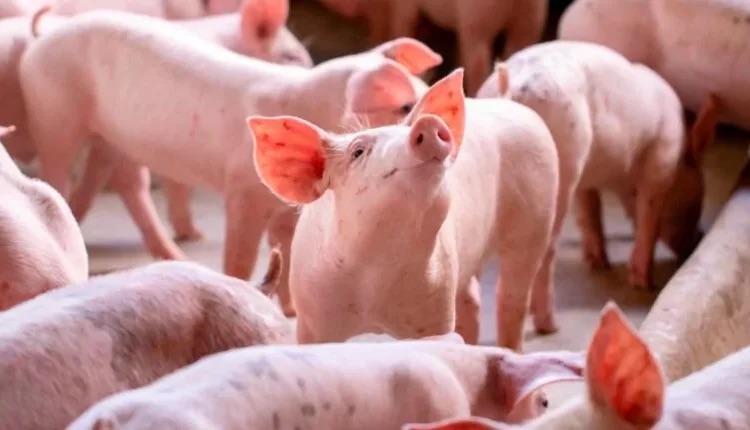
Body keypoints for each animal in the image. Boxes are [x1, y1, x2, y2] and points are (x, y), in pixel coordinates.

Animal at [19, 9, 442, 316]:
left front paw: (291, 310)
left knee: (126, 183)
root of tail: (45, 36)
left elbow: (288, 249)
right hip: (53, 110)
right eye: (404, 105)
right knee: (60, 169)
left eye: (423, 93)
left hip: (113, 138)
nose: (439, 126)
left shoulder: (287, 207)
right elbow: (241, 254)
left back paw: (176, 252)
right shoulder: (243, 189)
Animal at [248, 68, 559, 350]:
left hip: (537, 216)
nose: (429, 124)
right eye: (357, 152)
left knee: (513, 297)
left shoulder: (436, 304)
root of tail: (507, 101)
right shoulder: (312, 318)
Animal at [475, 41, 718, 290]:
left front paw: (598, 263)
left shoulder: (586, 178)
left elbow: (589, 208)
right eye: (696, 202)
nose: (699, 237)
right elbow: (648, 215)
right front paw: (644, 283)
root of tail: (510, 86)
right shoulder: (662, 161)